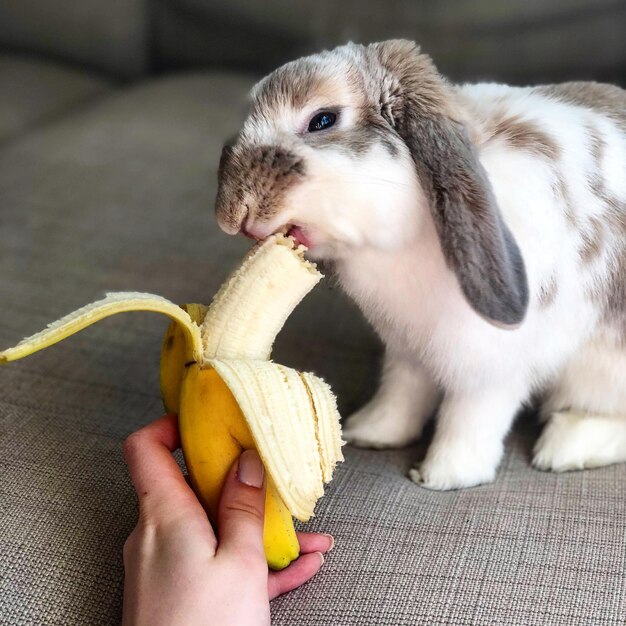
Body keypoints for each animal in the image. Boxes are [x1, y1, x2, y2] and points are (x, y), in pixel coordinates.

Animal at [216, 39, 624, 490]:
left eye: (323, 119)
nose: (232, 215)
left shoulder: (491, 369)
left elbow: (469, 417)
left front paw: (443, 475)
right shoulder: (407, 352)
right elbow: (402, 394)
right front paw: (371, 431)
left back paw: (567, 445)